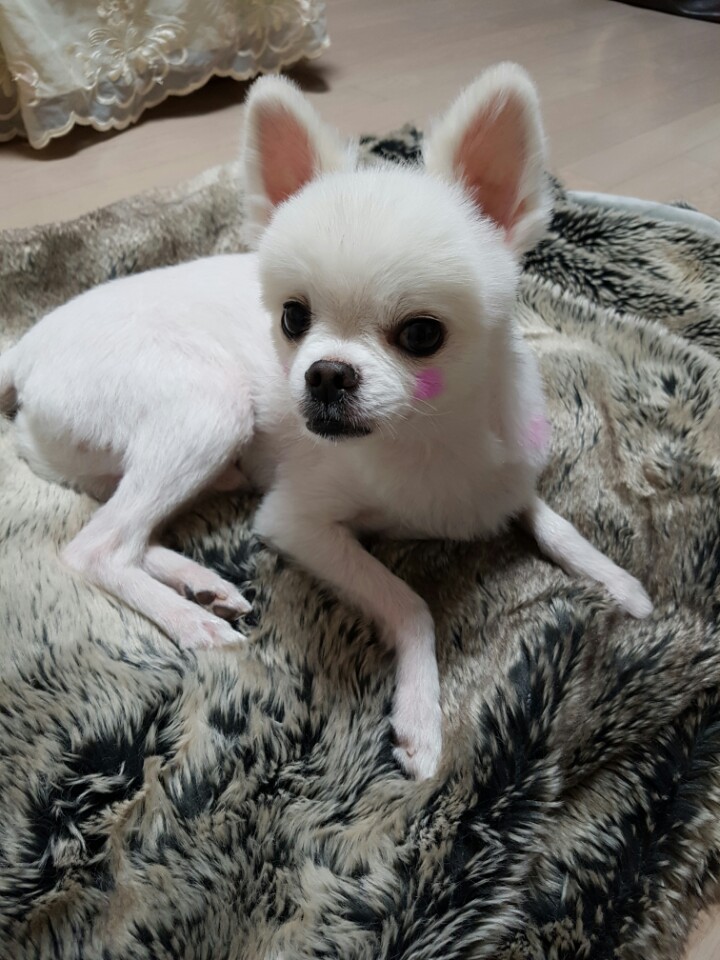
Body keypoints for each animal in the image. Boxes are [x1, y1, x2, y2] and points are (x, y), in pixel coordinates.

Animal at [0, 64, 652, 779]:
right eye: (293, 317)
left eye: (422, 334)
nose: (326, 374)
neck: (425, 437)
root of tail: (24, 348)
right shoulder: (297, 524)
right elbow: (409, 601)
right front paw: (421, 716)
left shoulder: (504, 475)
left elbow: (552, 519)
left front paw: (620, 583)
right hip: (210, 408)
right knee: (94, 547)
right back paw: (192, 621)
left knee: (124, 530)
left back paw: (201, 581)